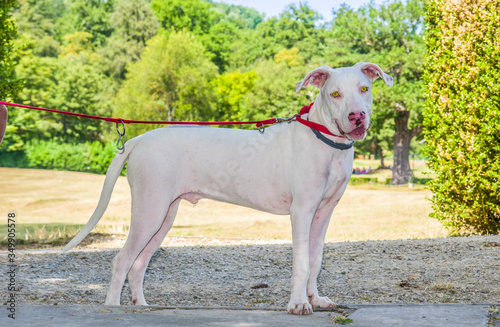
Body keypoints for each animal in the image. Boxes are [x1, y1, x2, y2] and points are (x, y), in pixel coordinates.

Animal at [62, 62, 392, 316]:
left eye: (364, 89)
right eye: (335, 94)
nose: (357, 116)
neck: (326, 141)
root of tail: (139, 139)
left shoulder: (323, 213)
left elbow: (316, 259)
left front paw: (315, 298)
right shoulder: (302, 212)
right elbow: (301, 261)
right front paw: (298, 304)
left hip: (163, 215)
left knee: (139, 263)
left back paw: (141, 305)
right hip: (149, 212)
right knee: (122, 261)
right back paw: (113, 307)